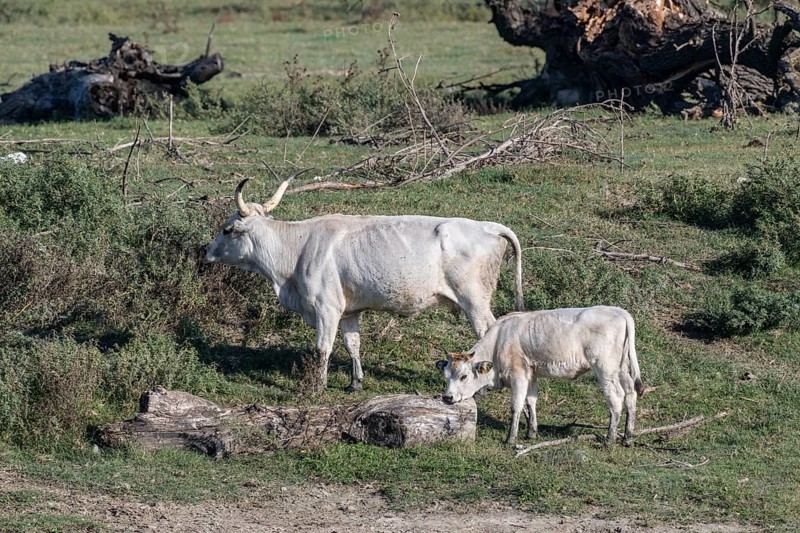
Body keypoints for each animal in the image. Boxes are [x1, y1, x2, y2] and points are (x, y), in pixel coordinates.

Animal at [204, 169, 524, 393]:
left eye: (227, 229)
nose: (206, 252)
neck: (297, 248)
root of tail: (487, 226)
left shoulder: (326, 308)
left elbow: (322, 348)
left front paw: (316, 387)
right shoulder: (348, 310)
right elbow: (352, 344)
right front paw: (355, 381)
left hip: (475, 301)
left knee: (488, 331)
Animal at [436, 306, 644, 446]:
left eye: (463, 376)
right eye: (446, 375)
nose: (447, 397)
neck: (499, 341)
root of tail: (621, 312)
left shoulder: (518, 374)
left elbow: (516, 405)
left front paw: (511, 439)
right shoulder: (532, 373)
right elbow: (531, 401)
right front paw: (531, 433)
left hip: (605, 368)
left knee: (616, 399)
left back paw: (609, 439)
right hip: (622, 369)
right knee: (631, 394)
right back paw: (627, 438)